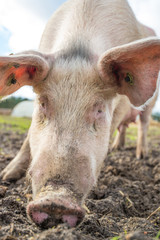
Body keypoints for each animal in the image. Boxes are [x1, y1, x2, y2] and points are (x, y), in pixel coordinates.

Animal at [0, 0, 160, 229]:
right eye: (42, 103)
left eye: (99, 109)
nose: (56, 201)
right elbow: (27, 137)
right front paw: (5, 176)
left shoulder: (120, 105)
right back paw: (117, 148)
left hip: (150, 104)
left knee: (143, 125)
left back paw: (141, 155)